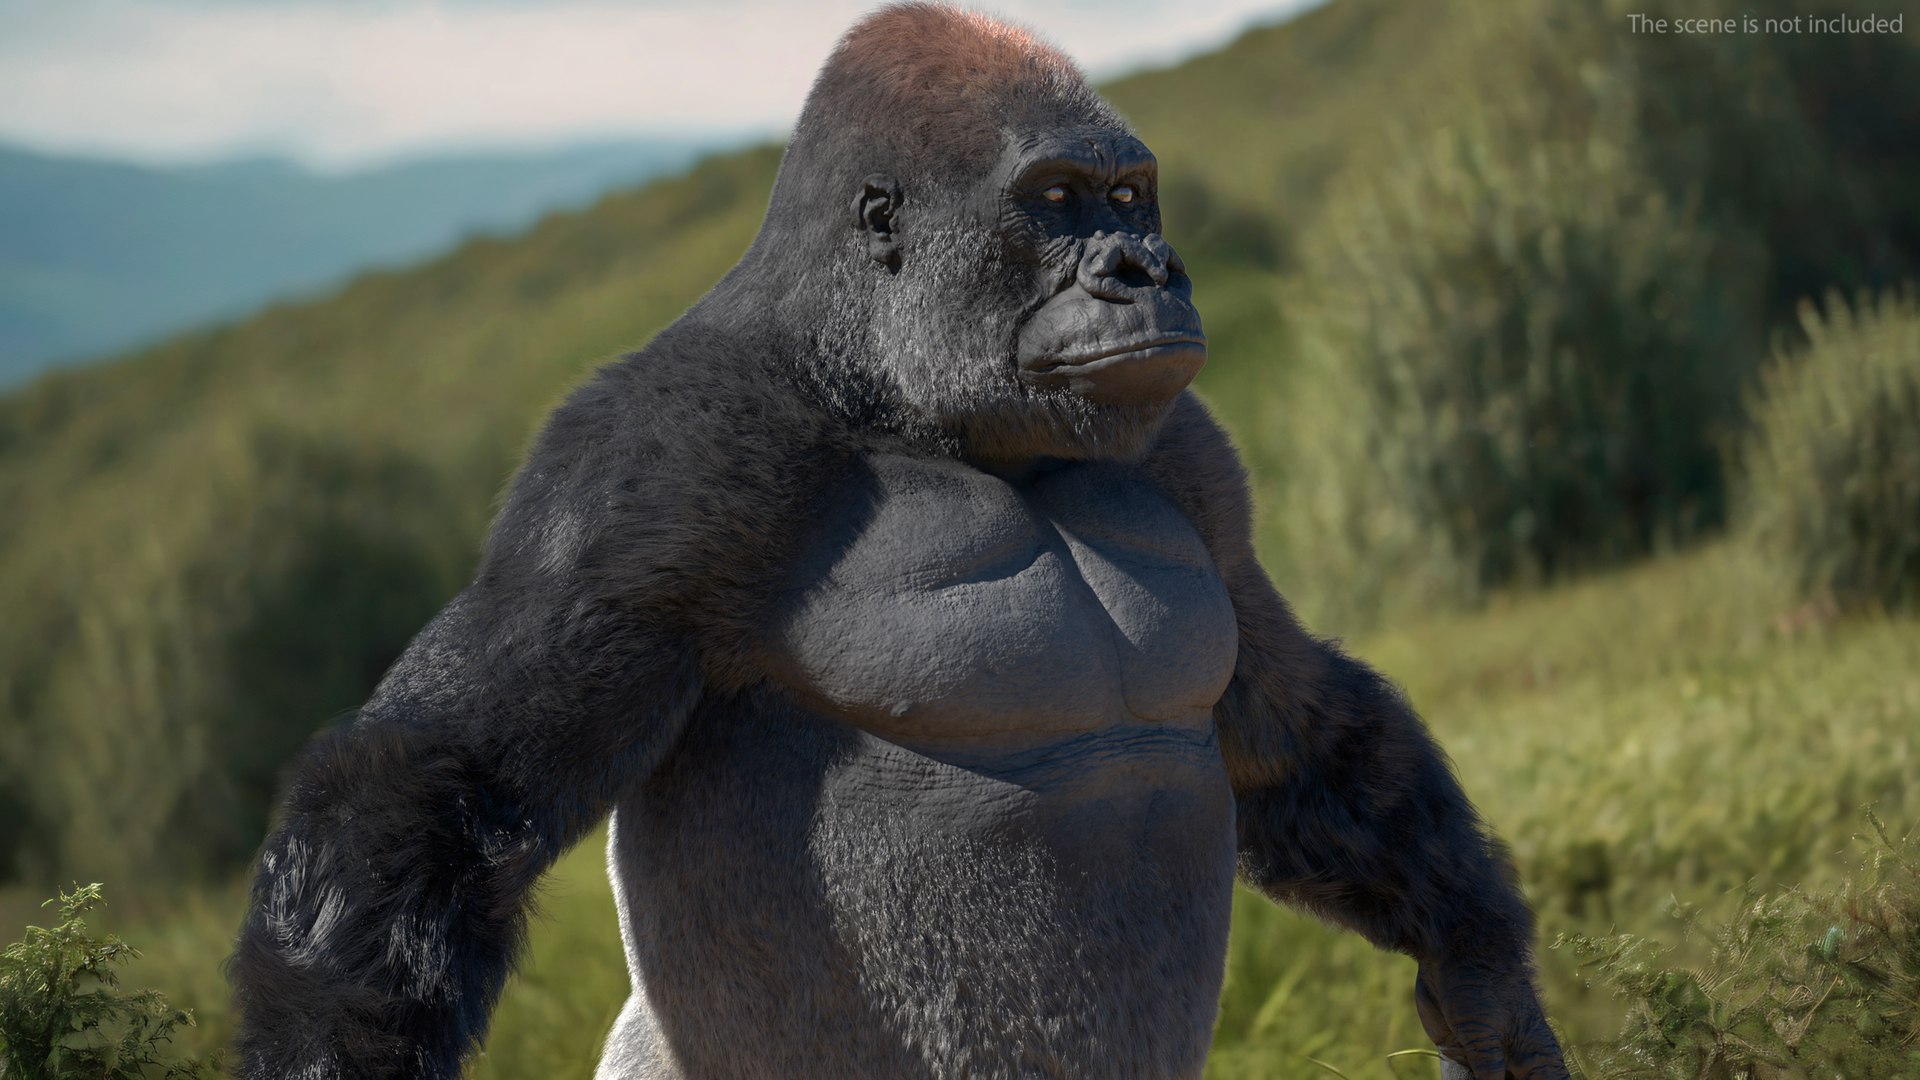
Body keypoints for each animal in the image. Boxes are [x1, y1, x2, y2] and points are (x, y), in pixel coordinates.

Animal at [228, 5, 1567, 1079]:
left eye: (1130, 196)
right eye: (1055, 199)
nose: (1147, 266)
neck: (875, 379)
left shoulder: (1189, 453)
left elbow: (1296, 730)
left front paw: (1480, 973)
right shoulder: (652, 456)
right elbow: (440, 783)